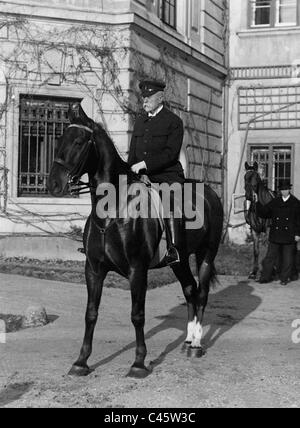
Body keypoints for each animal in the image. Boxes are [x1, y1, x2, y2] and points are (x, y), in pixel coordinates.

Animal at [48, 103, 224, 378]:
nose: (53, 183)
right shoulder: (93, 269)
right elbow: (91, 313)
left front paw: (139, 362)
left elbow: (137, 315)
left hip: (206, 254)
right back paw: (187, 340)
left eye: (78, 141)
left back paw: (196, 344)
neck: (112, 210)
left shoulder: (137, 270)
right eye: (60, 139)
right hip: (180, 260)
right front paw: (81, 361)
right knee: (189, 290)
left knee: (202, 293)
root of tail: (210, 193)